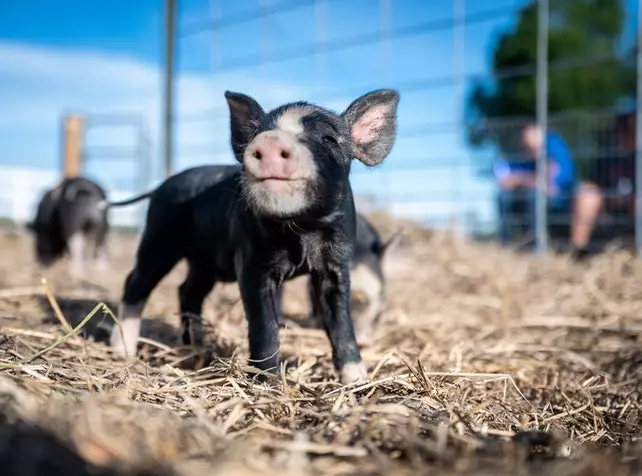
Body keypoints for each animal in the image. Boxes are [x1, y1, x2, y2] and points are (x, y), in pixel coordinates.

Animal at [109, 89, 400, 384]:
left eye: (328, 138)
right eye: (258, 134)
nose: (271, 140)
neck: (303, 230)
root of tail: (159, 187)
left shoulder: (337, 266)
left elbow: (341, 321)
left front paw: (358, 380)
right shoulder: (251, 263)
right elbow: (265, 325)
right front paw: (267, 380)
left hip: (203, 262)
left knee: (187, 291)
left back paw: (197, 349)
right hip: (160, 236)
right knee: (136, 283)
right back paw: (123, 351)